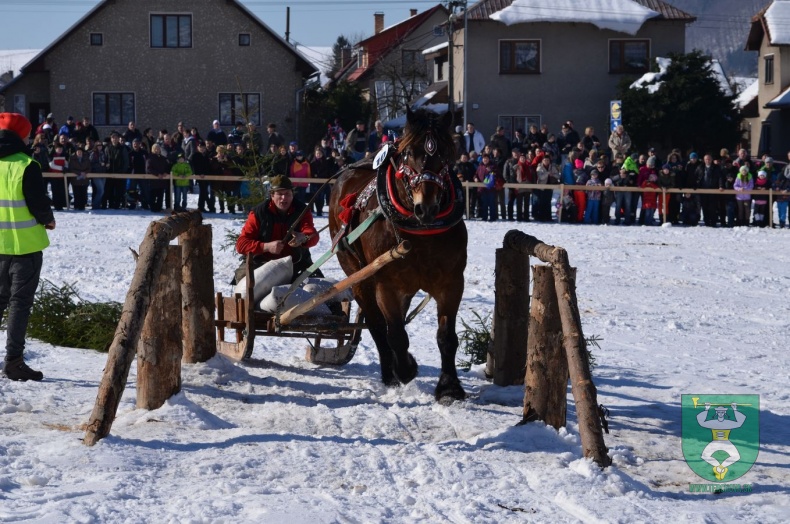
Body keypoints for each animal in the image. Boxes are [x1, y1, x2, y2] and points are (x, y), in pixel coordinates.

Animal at [330, 105, 470, 402]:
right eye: (408, 153)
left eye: (445, 153)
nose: (425, 207)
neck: (422, 231)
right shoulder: (387, 284)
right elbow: (394, 333)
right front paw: (405, 369)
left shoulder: (451, 282)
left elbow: (446, 337)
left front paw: (449, 387)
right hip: (359, 276)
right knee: (377, 326)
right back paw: (390, 373)